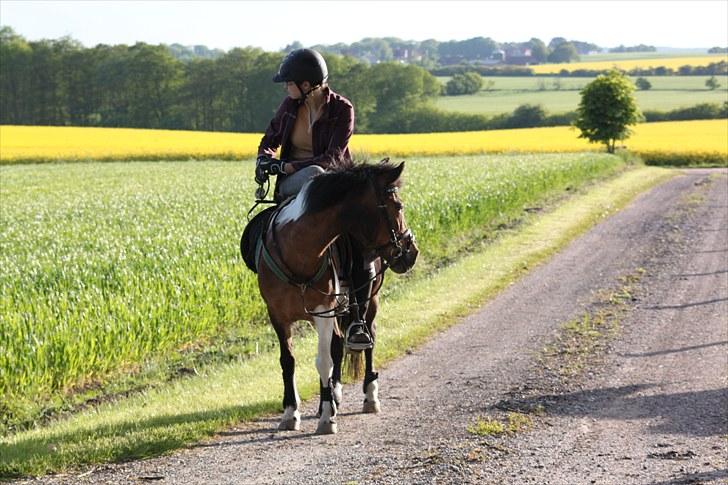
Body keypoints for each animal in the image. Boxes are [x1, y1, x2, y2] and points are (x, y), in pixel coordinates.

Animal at [256, 160, 418, 434]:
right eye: (398, 206)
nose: (411, 252)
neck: (297, 252)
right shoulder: (277, 314)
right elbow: (288, 361)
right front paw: (290, 412)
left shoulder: (323, 310)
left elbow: (324, 361)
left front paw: (326, 418)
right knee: (339, 343)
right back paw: (335, 394)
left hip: (368, 302)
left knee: (368, 338)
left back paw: (368, 396)